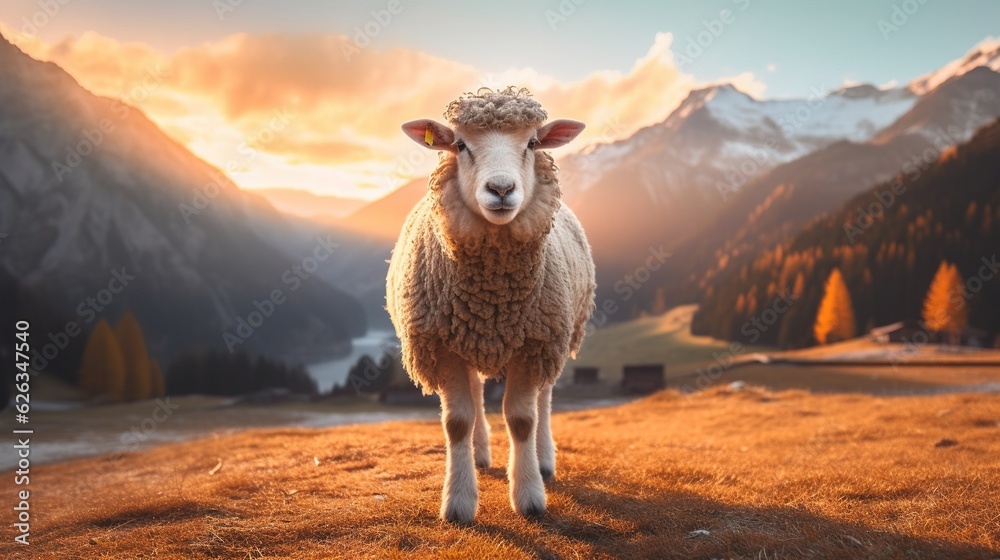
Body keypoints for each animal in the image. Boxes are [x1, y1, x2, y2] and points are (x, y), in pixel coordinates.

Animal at [386, 87, 595, 523]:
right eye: (460, 145)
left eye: (531, 143)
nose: (500, 189)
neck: (492, 299)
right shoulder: (442, 345)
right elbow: (457, 421)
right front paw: (458, 501)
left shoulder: (534, 343)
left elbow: (522, 419)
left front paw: (529, 496)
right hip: (467, 340)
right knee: (476, 394)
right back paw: (480, 456)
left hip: (557, 335)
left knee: (544, 399)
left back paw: (544, 459)